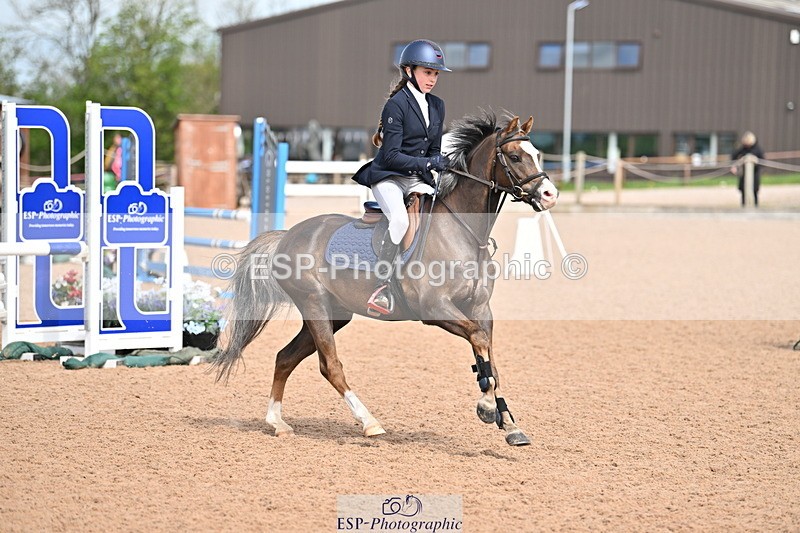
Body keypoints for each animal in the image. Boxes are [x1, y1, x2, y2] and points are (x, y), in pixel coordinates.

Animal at [213, 111, 559, 446]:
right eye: (514, 157)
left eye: (537, 154)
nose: (550, 195)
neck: (464, 232)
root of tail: (287, 236)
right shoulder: (435, 309)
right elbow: (479, 340)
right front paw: (487, 408)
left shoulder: (480, 309)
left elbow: (489, 356)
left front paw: (509, 424)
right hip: (314, 305)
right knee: (330, 366)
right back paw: (369, 423)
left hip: (334, 313)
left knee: (285, 358)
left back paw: (277, 422)